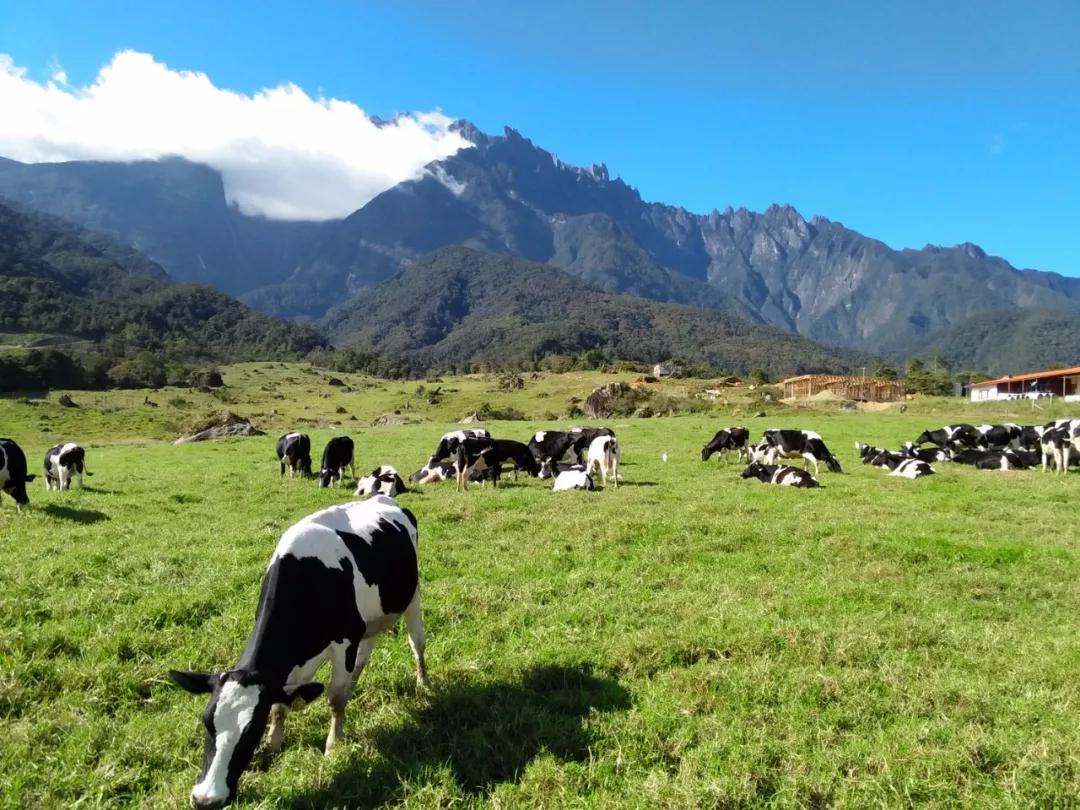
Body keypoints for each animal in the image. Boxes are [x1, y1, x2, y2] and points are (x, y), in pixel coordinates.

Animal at [168, 498, 425, 807]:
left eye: (251, 731)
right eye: (207, 723)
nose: (206, 799)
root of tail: (383, 499)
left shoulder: (346, 640)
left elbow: (335, 700)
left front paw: (333, 747)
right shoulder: (292, 667)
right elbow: (280, 705)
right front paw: (273, 745)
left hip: (413, 597)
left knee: (416, 644)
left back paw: (423, 684)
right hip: (371, 621)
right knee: (363, 658)